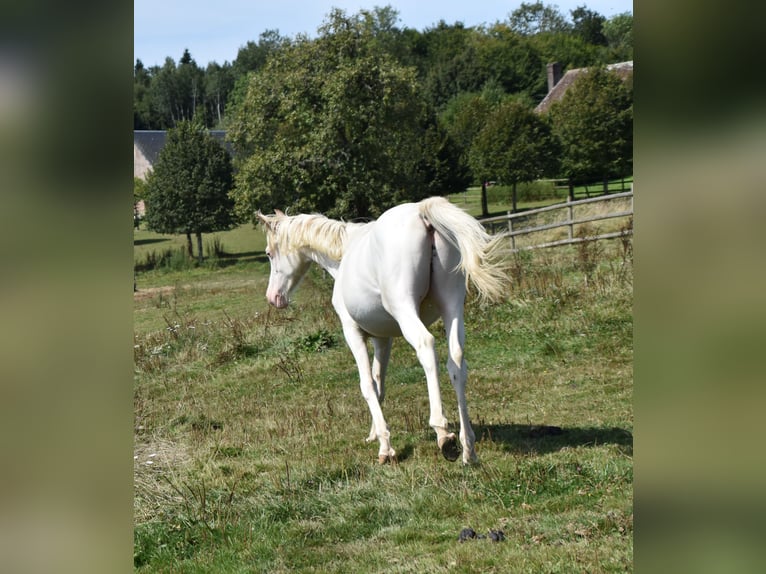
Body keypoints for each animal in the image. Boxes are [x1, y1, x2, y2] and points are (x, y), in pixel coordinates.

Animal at [258, 198, 510, 468]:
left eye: (269, 253)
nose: (273, 298)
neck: (344, 254)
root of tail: (421, 212)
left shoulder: (353, 333)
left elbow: (368, 384)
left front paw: (385, 447)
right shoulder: (382, 338)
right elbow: (380, 384)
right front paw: (374, 435)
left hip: (405, 308)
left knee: (426, 346)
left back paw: (444, 435)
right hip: (451, 306)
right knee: (456, 362)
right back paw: (468, 448)